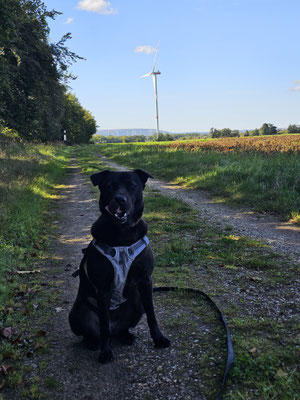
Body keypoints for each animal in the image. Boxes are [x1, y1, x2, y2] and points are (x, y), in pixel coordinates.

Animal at [69, 169, 170, 362]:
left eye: (132, 185)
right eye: (109, 186)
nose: (120, 199)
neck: (122, 234)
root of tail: (115, 328)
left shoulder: (146, 281)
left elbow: (152, 315)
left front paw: (159, 339)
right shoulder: (103, 288)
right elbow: (103, 325)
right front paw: (105, 352)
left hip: (137, 302)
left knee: (120, 328)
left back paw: (125, 335)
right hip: (77, 312)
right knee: (97, 331)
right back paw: (93, 342)